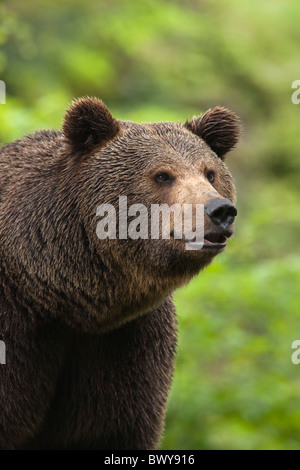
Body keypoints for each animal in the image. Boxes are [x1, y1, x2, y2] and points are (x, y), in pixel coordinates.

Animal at [0, 97, 239, 450]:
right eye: (162, 175)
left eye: (209, 173)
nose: (220, 210)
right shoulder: (16, 331)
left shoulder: (123, 343)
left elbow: (110, 429)